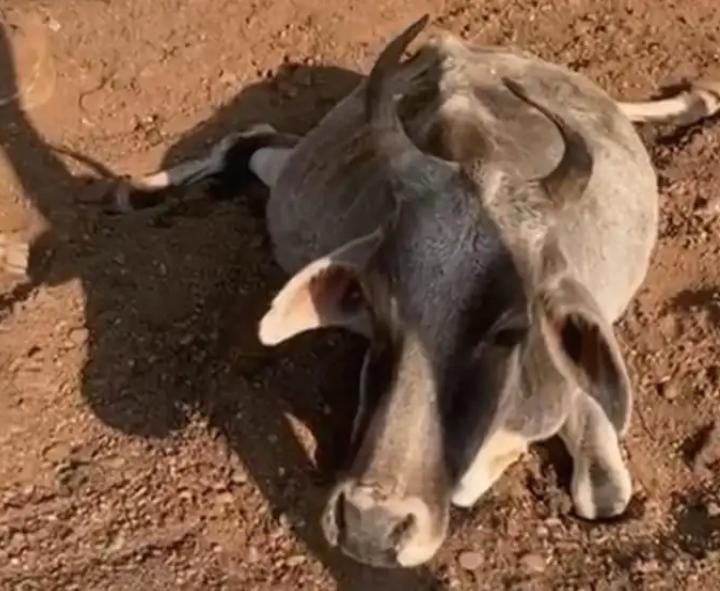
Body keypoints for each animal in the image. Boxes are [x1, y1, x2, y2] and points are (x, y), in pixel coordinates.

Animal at [101, 17, 720, 568]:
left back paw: (695, 101)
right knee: (250, 142)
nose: (372, 529)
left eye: (509, 329)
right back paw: (137, 191)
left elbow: (602, 492)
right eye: (375, 306)